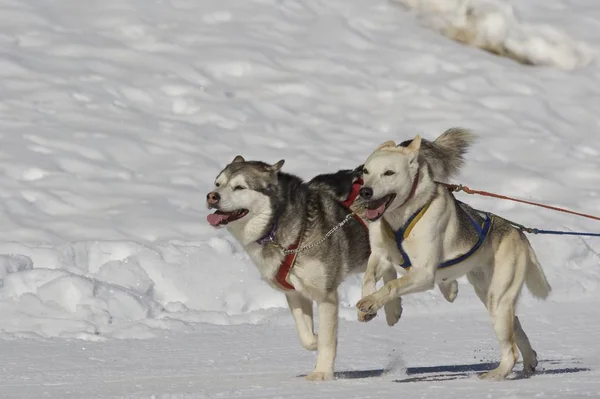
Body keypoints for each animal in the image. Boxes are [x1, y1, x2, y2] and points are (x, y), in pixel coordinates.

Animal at [356, 128, 552, 382]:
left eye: (389, 172)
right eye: (366, 172)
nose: (365, 191)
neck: (401, 217)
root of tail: (517, 232)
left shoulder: (424, 273)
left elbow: (391, 285)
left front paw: (373, 301)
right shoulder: (381, 255)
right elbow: (369, 276)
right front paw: (379, 307)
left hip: (498, 299)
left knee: (510, 349)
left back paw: (497, 373)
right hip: (490, 296)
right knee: (516, 327)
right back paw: (529, 360)